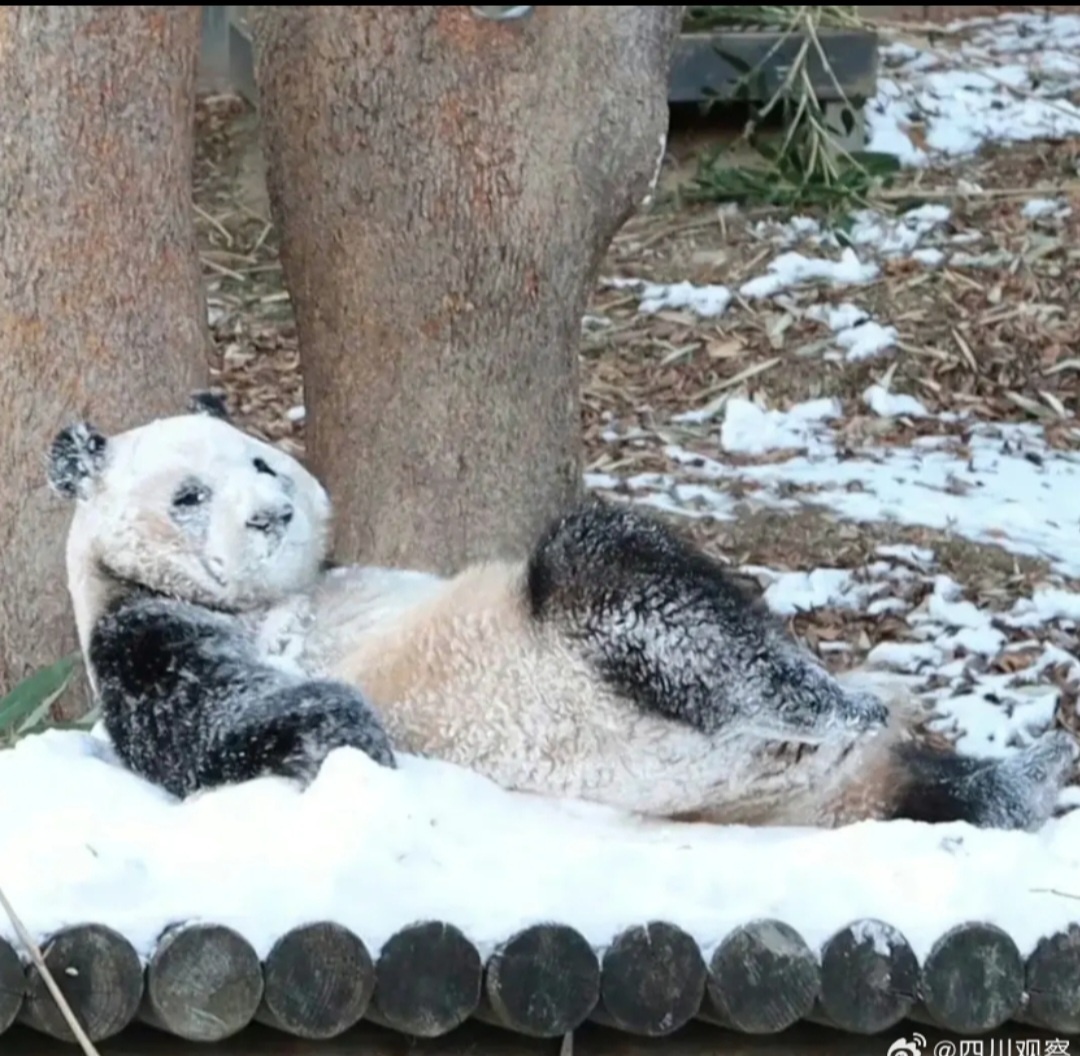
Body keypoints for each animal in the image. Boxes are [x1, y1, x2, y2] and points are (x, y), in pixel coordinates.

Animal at [46, 390, 1075, 829]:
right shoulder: (145, 630)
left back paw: (1020, 774)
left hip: (811, 793)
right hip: (583, 678)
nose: (272, 514)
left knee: (916, 789)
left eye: (261, 461)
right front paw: (362, 741)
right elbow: (227, 725)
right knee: (630, 580)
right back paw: (840, 698)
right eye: (188, 496)